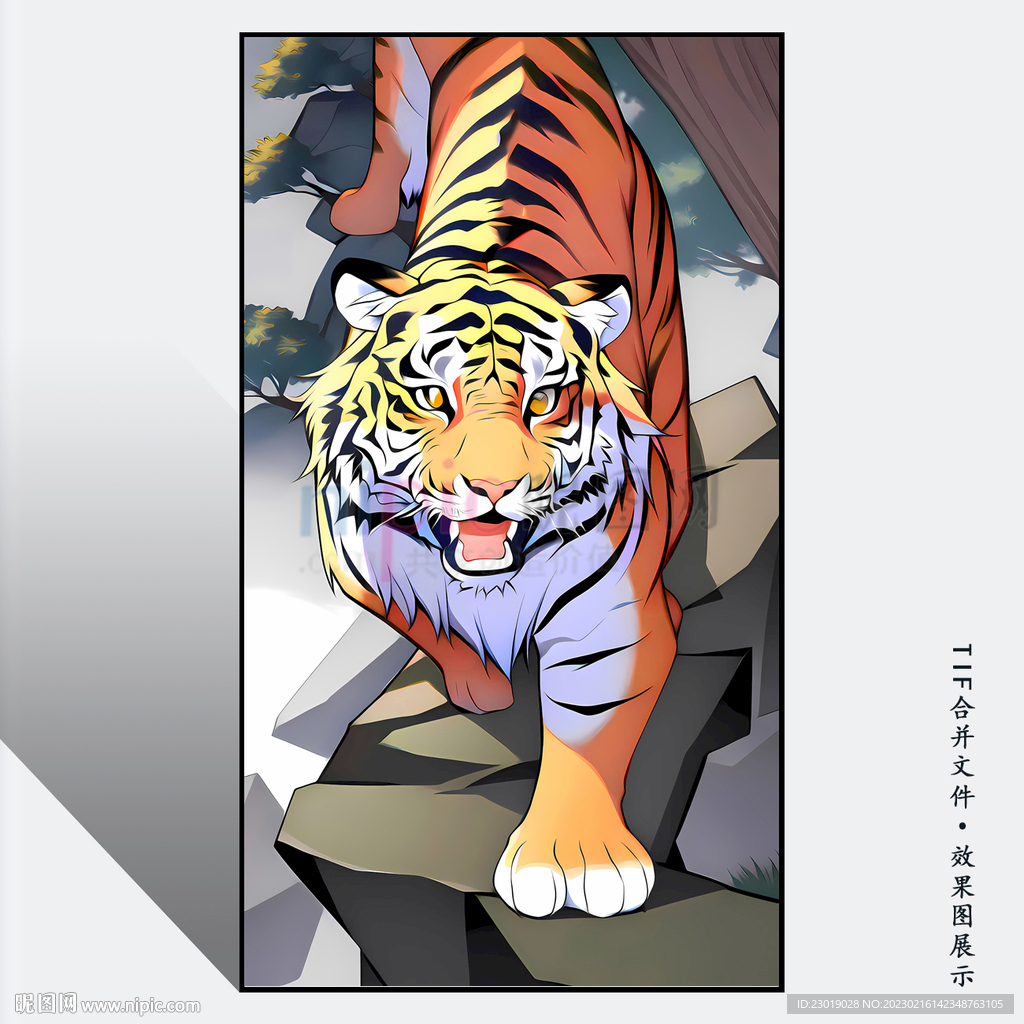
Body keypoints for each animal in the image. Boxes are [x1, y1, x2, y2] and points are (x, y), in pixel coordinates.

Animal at [301, 36, 691, 919]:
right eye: (431, 397)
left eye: (544, 400)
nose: (492, 488)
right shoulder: (361, 563)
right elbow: (433, 626)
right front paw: (481, 687)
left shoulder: (617, 614)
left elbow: (587, 724)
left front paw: (576, 861)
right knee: (388, 133)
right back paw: (360, 212)